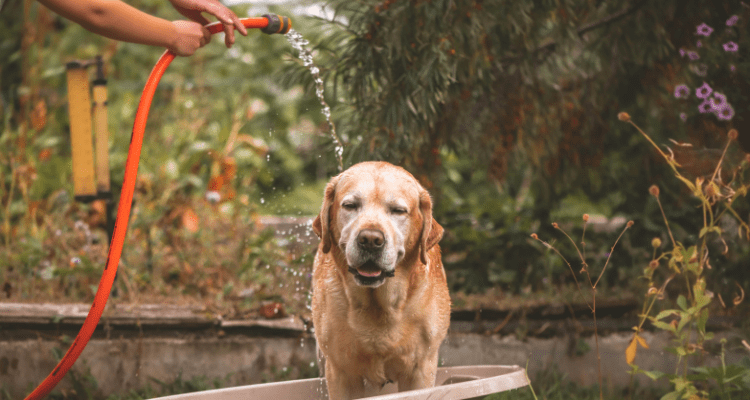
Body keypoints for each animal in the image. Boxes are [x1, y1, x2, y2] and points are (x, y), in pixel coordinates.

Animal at [312, 161, 452, 398]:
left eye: (398, 211)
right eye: (350, 205)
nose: (370, 240)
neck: (379, 305)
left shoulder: (421, 368)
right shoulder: (341, 371)